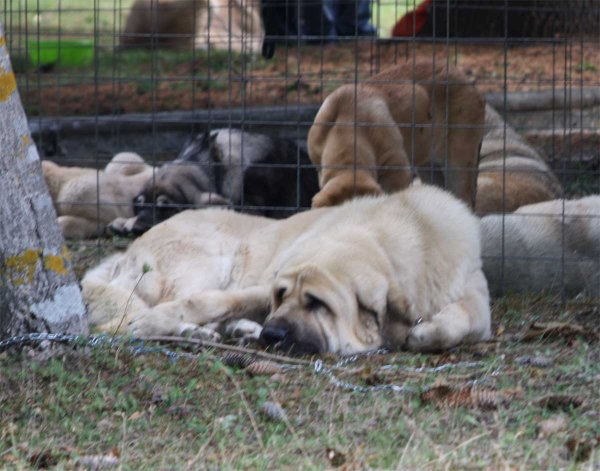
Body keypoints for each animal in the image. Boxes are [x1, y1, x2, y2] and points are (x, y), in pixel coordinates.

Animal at [81, 184, 492, 354]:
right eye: (283, 296)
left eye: (318, 304)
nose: (273, 333)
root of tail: (124, 254)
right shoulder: (261, 287)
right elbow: (205, 302)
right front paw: (151, 323)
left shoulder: (476, 297)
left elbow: (465, 317)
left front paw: (430, 332)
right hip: (207, 258)